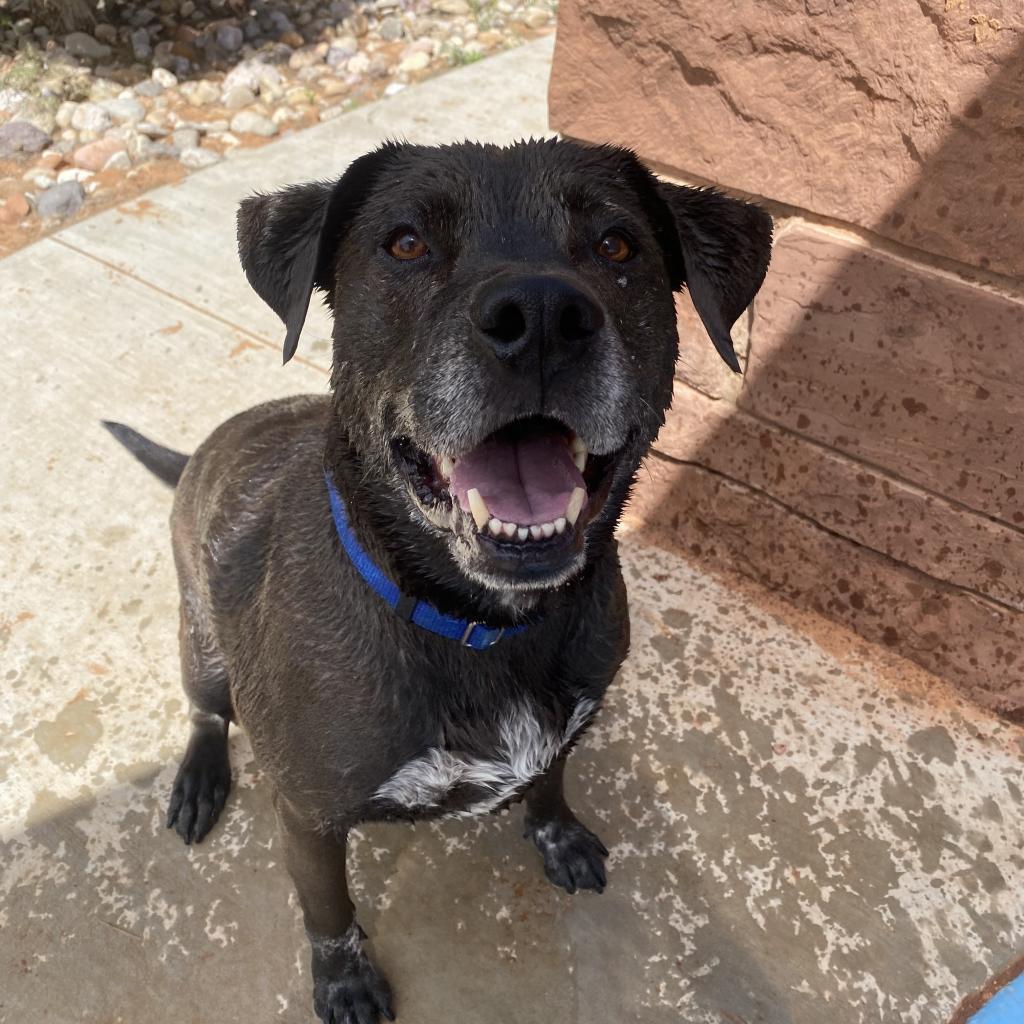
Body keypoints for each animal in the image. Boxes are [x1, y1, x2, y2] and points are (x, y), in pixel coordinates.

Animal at [108, 138, 770, 1024]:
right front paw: (345, 980)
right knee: (208, 711)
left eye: (617, 245)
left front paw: (557, 833)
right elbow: (328, 911)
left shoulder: (566, 725)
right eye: (405, 244)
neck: (478, 623)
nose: (541, 317)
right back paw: (199, 778)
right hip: (202, 645)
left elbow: (550, 778)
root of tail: (201, 455)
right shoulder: (308, 816)